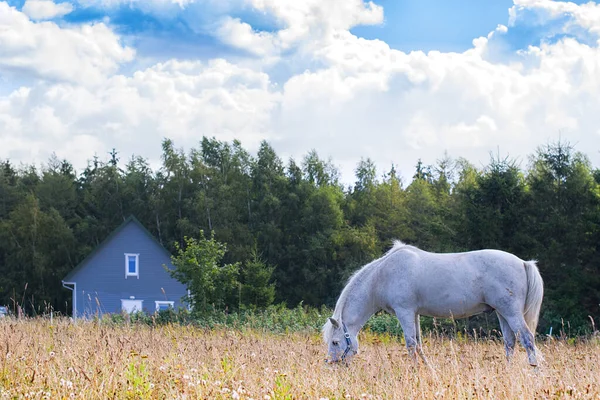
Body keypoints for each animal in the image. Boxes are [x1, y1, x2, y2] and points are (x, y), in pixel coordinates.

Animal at [324, 241, 544, 366]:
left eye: (335, 342)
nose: (332, 364)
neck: (382, 276)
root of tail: (523, 263)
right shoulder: (414, 314)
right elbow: (419, 344)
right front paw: (426, 369)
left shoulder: (404, 312)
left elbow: (410, 344)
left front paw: (413, 370)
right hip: (502, 313)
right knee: (510, 343)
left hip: (511, 313)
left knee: (527, 339)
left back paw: (534, 369)